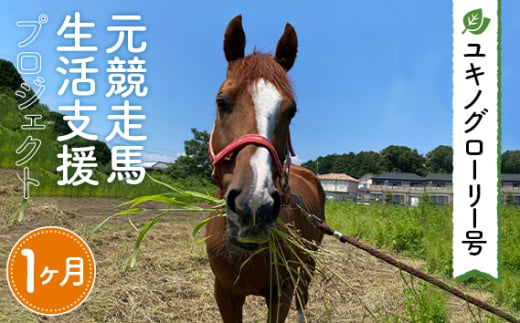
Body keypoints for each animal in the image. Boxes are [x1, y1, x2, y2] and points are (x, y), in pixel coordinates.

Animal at [206, 15, 324, 323]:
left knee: (303, 298)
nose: (253, 204)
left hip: (309, 262)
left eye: (291, 111)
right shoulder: (225, 293)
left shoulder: (280, 292)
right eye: (221, 102)